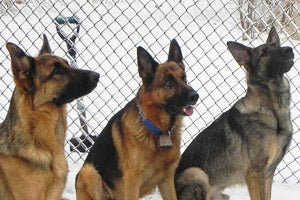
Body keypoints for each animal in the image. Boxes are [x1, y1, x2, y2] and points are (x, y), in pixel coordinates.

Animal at [75, 39, 199, 200]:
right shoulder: (132, 182)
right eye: (168, 83)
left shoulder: (166, 179)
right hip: (89, 172)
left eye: (184, 78)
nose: (195, 96)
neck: (159, 130)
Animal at [175, 27, 294, 200]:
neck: (273, 109)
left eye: (276, 46)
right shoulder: (255, 174)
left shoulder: (268, 175)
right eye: (263, 53)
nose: (289, 49)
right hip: (197, 173)